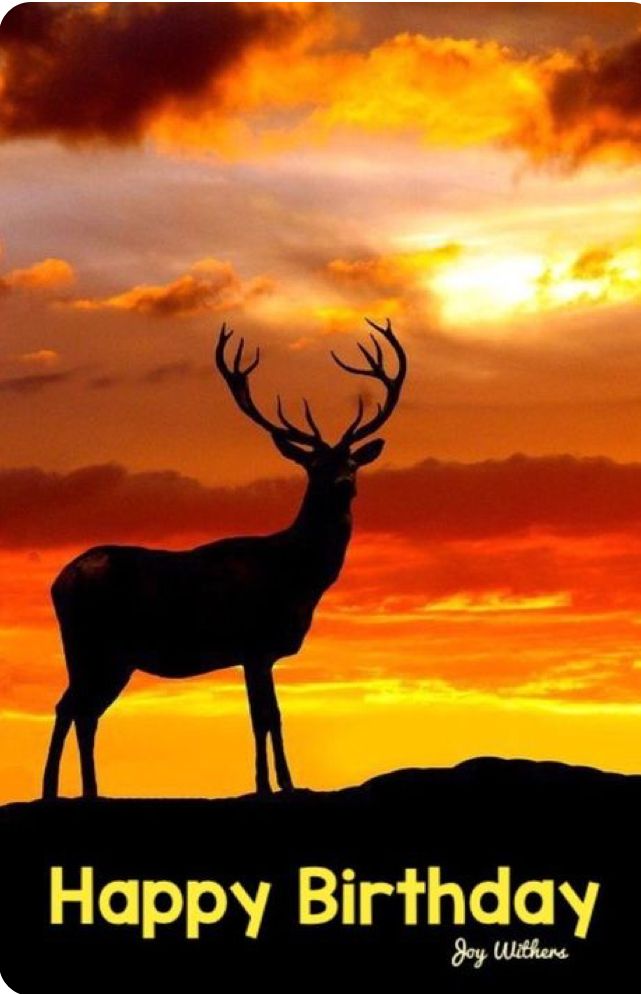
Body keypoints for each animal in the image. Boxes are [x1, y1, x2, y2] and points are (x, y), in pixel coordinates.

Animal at [42, 318, 408, 800]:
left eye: (352, 462)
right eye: (314, 466)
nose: (344, 484)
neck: (296, 577)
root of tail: (59, 581)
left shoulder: (260, 652)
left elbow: (268, 717)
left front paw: (277, 783)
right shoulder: (254, 643)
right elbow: (264, 717)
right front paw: (274, 785)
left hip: (102, 653)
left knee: (81, 710)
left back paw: (84, 791)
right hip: (97, 644)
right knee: (73, 707)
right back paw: (58, 789)